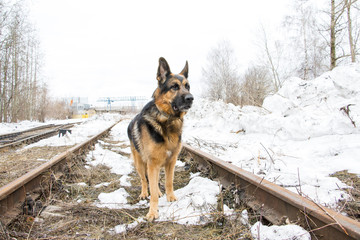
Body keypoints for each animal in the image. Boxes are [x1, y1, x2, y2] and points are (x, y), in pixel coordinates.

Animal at [127, 57, 194, 221]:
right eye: (174, 87)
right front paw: (152, 212)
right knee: (144, 180)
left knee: (155, 181)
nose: (190, 98)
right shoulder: (153, 163)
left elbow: (168, 182)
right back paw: (144, 193)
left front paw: (171, 197)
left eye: (187, 86)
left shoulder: (170, 162)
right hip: (140, 163)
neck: (167, 119)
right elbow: (151, 184)